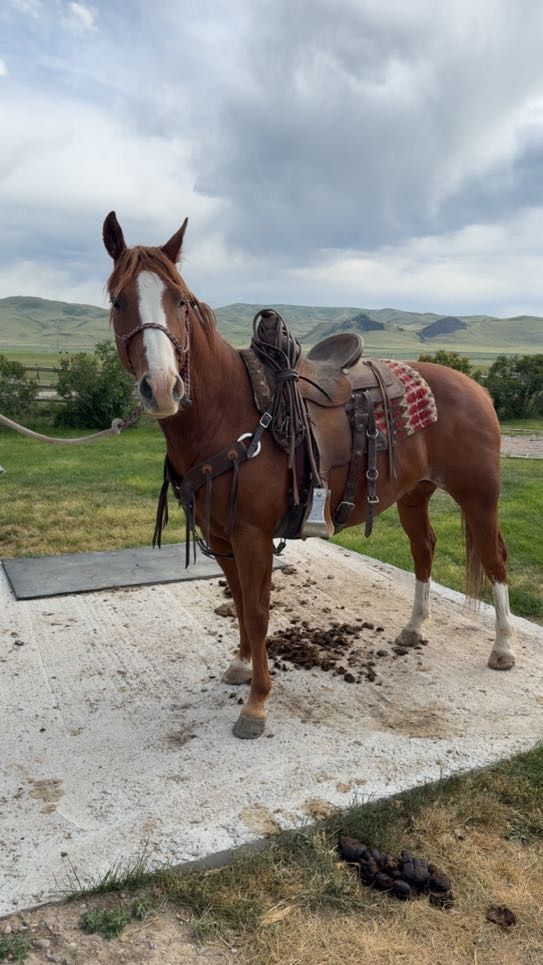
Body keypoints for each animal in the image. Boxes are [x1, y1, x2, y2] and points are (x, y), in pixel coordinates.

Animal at [103, 211, 517, 740]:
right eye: (118, 301)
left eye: (180, 299)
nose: (162, 387)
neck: (227, 412)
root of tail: (476, 387)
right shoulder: (220, 535)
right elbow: (240, 603)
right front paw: (241, 665)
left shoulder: (253, 535)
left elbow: (259, 612)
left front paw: (256, 704)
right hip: (414, 495)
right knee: (424, 550)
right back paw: (413, 629)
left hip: (478, 496)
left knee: (495, 559)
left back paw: (502, 648)